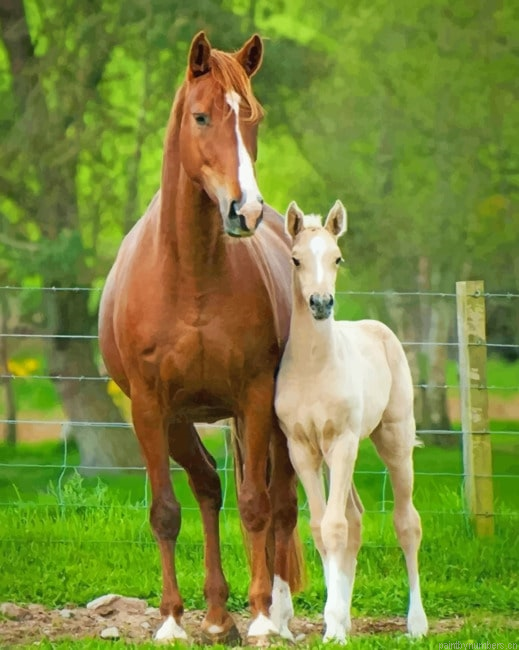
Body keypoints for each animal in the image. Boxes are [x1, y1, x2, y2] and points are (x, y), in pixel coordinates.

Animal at [98, 32, 304, 644]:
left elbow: (257, 505)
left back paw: (277, 616)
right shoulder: (149, 407)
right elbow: (167, 511)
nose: (246, 210)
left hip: (275, 421)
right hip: (178, 422)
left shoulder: (255, 397)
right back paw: (214, 617)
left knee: (281, 504)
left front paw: (260, 617)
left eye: (252, 116)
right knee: (209, 487)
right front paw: (171, 622)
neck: (189, 275)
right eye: (201, 116)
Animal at [274, 200, 429, 643]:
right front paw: (335, 621)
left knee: (406, 523)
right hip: (333, 455)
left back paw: (417, 624)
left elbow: (335, 528)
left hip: (393, 441)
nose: (321, 303)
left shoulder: (342, 442)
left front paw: (335, 627)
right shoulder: (302, 449)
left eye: (337, 258)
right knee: (356, 519)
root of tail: (378, 328)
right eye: (296, 258)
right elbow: (321, 528)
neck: (314, 368)